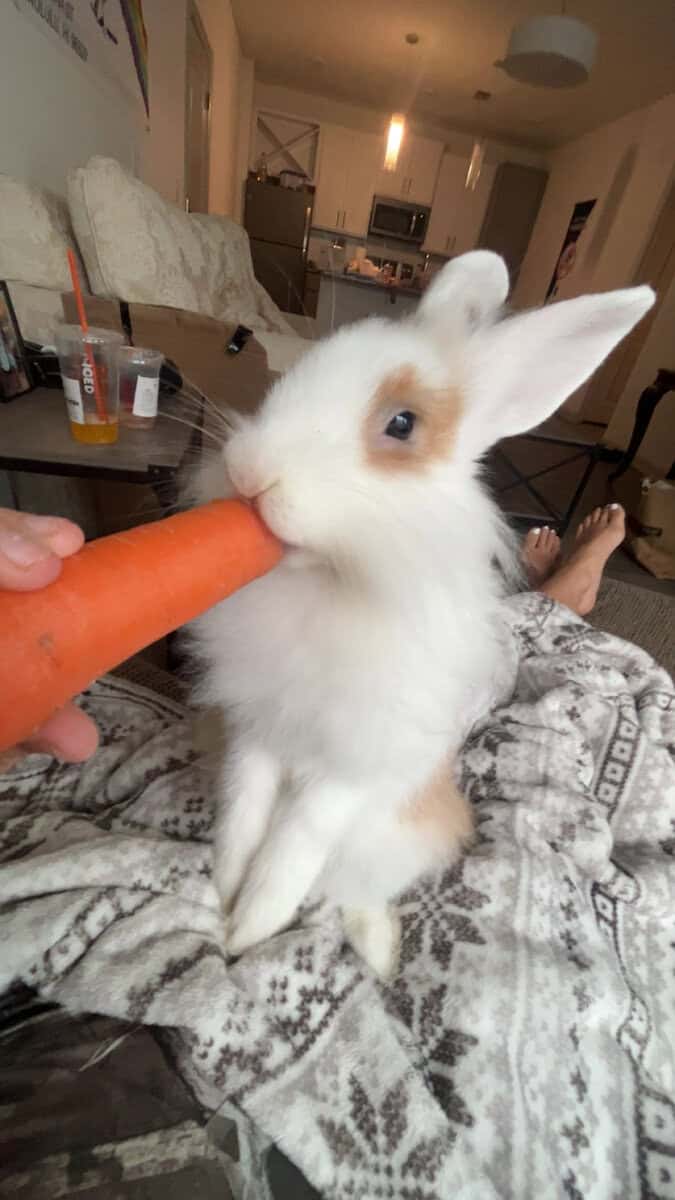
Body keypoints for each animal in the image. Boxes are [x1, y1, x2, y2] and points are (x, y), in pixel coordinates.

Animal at [190, 251, 654, 979]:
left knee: (353, 893)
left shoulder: (353, 765)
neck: (332, 583)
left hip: (399, 837)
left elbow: (293, 844)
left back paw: (380, 954)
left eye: (401, 424)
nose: (248, 474)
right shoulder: (255, 732)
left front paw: (251, 925)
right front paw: (226, 894)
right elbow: (243, 816)